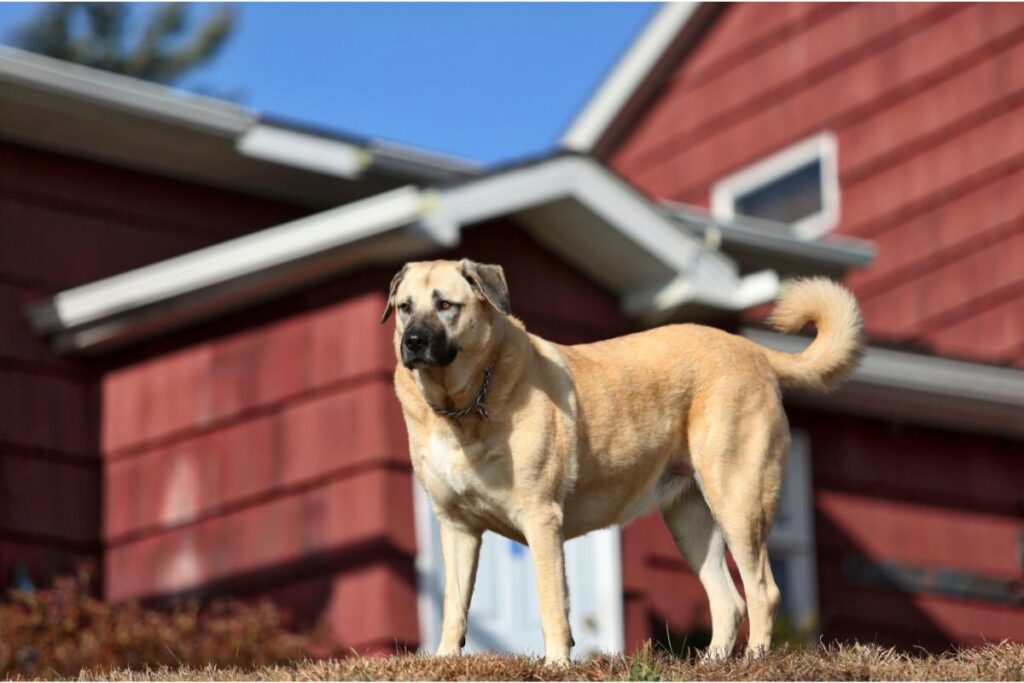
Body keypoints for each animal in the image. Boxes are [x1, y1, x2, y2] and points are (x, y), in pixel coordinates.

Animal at [385, 259, 864, 663]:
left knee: (764, 590)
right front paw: (445, 660)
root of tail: (754, 351)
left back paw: (754, 661)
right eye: (405, 308)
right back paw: (711, 663)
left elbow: (551, 602)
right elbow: (454, 603)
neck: (460, 409)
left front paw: (556, 665)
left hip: (738, 500)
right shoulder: (457, 526)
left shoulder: (541, 519)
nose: (413, 342)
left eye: (445, 305)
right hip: (690, 519)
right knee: (729, 600)